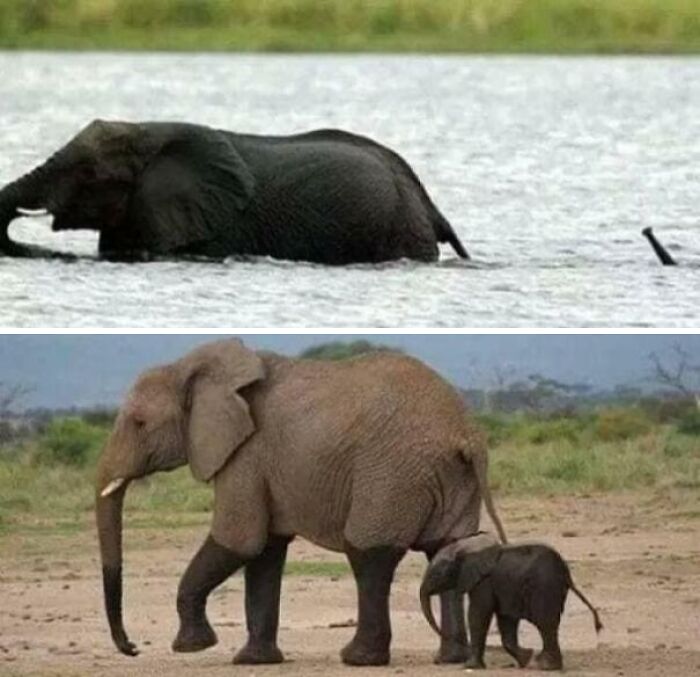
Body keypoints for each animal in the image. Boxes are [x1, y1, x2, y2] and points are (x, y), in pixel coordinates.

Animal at [95, 339, 507, 667]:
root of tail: (465, 433)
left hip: (392, 474)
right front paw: (253, 661)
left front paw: (193, 647)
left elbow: (239, 541)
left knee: (369, 554)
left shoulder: (247, 454)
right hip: (449, 477)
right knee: (447, 549)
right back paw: (451, 659)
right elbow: (265, 552)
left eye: (139, 423)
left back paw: (358, 658)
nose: (132, 647)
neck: (193, 368)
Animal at [420, 533, 602, 671]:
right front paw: (525, 659)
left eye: (436, 574)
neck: (466, 546)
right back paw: (542, 663)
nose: (437, 661)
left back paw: (546, 667)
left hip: (545, 587)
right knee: (549, 625)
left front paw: (469, 667)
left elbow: (478, 614)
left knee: (545, 624)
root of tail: (566, 573)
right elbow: (506, 619)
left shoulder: (484, 582)